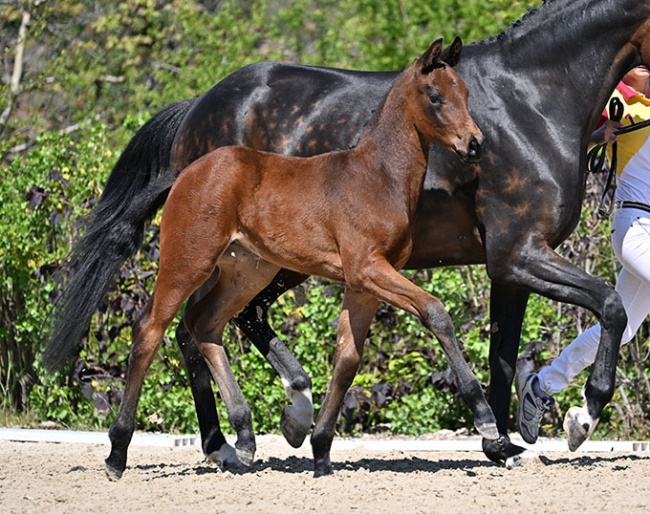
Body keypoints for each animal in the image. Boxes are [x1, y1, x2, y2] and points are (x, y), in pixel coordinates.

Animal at [105, 38, 486, 478]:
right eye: (435, 96)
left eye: (466, 93)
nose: (475, 144)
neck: (378, 177)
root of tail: (184, 171)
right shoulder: (368, 268)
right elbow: (435, 312)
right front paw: (486, 420)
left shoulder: (363, 283)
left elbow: (347, 359)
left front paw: (320, 452)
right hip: (189, 260)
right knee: (150, 330)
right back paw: (118, 453)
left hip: (248, 272)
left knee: (204, 324)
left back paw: (243, 439)